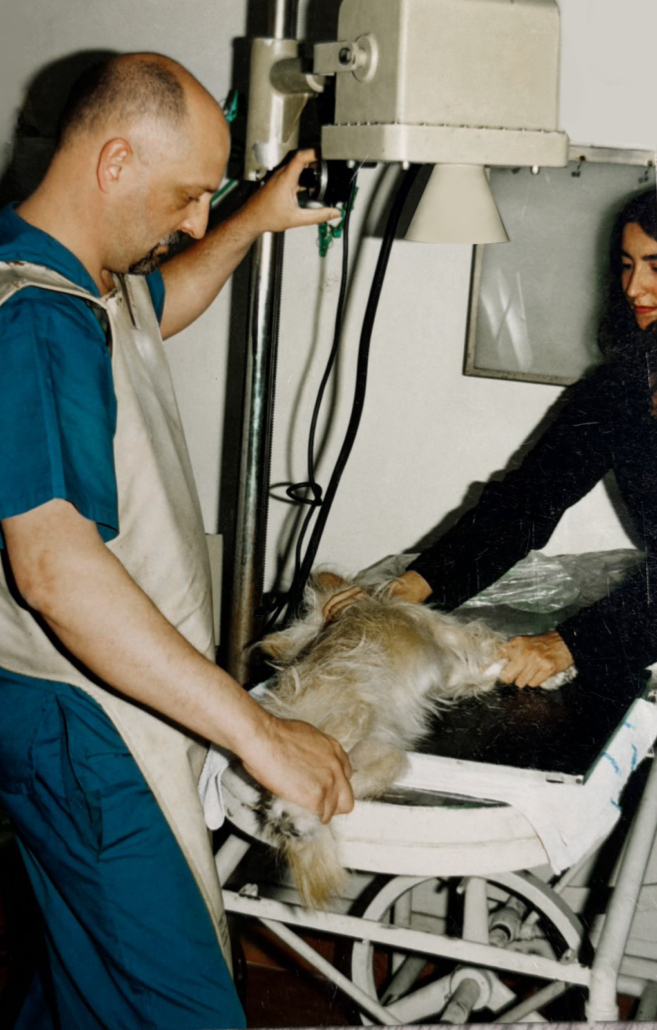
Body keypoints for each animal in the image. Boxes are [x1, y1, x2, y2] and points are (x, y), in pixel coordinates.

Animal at [254, 572, 574, 907]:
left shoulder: (451, 671)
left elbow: (486, 669)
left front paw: (547, 675)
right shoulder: (454, 645)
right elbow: (493, 656)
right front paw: (539, 671)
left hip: (381, 754)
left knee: (343, 787)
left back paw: (298, 821)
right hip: (351, 724)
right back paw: (294, 816)